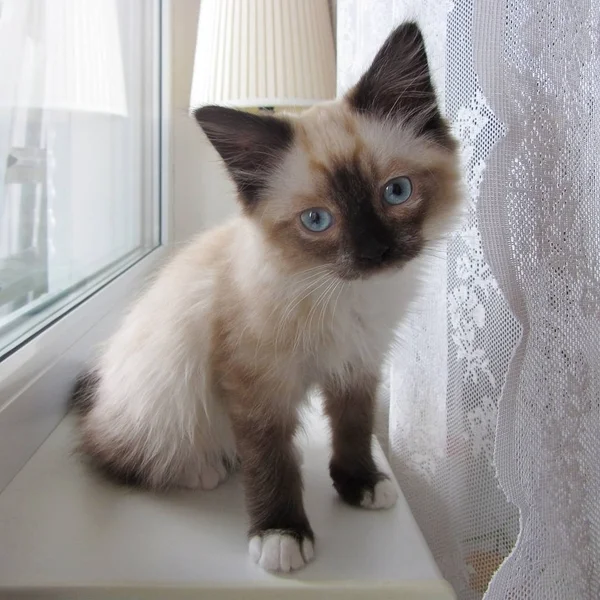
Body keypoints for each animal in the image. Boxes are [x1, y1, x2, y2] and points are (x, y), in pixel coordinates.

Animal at [72, 23, 462, 576]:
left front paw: (360, 483)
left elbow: (353, 426)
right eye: (317, 221)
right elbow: (271, 463)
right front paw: (281, 535)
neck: (342, 295)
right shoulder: (257, 387)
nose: (375, 252)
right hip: (165, 392)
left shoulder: (358, 362)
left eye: (397, 192)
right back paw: (205, 469)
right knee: (117, 454)